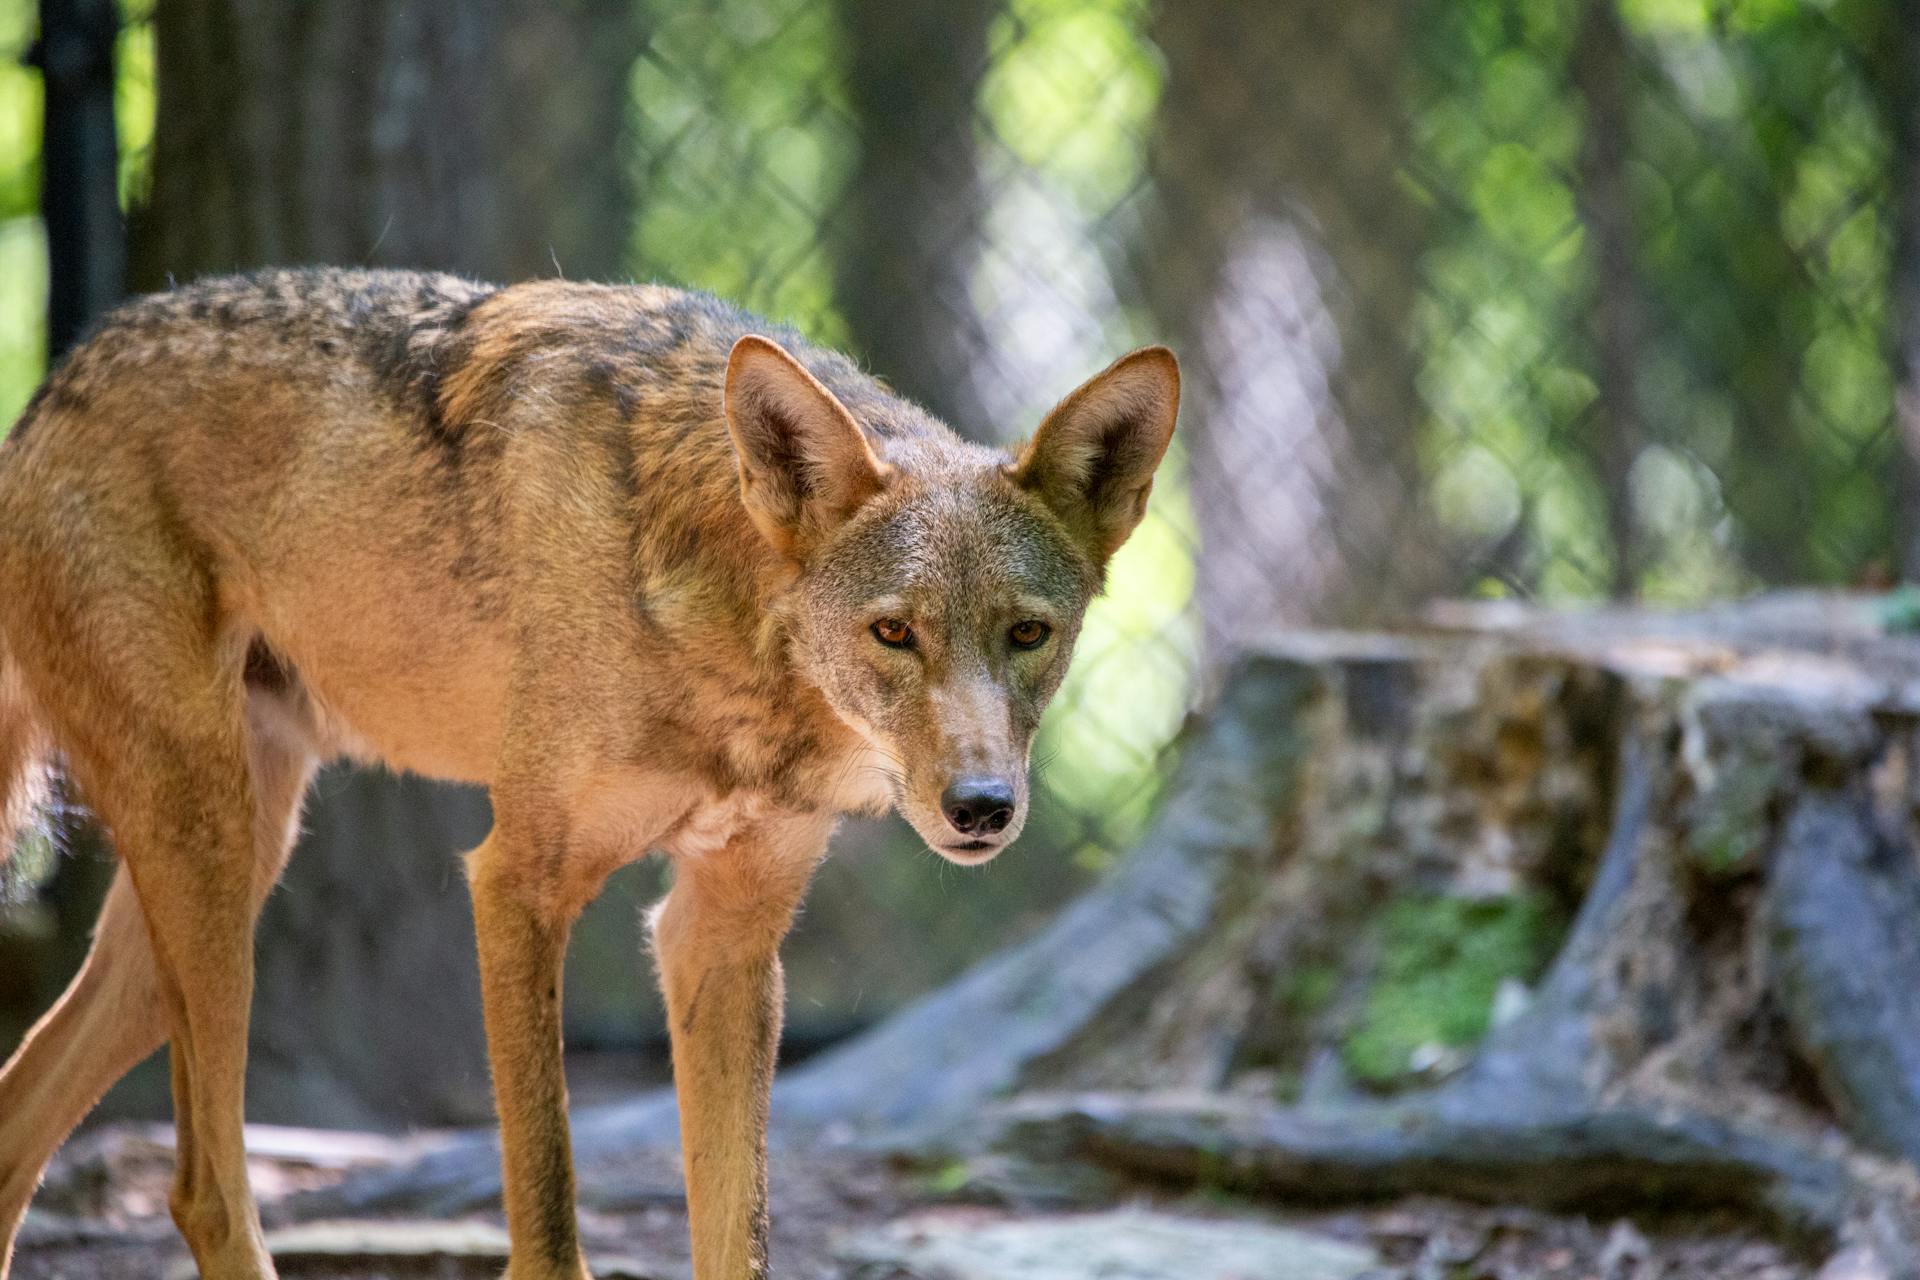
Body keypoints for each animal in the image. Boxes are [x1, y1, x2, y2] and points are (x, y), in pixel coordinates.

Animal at [0, 270, 1175, 1280]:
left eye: (1028, 633)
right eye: (894, 633)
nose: (981, 808)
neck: (733, 657)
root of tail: (54, 387)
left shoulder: (722, 934)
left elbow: (739, 1237)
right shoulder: (516, 884)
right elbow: (551, 1209)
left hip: (219, 887)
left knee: (20, 1123)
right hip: (210, 866)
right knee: (203, 1190)